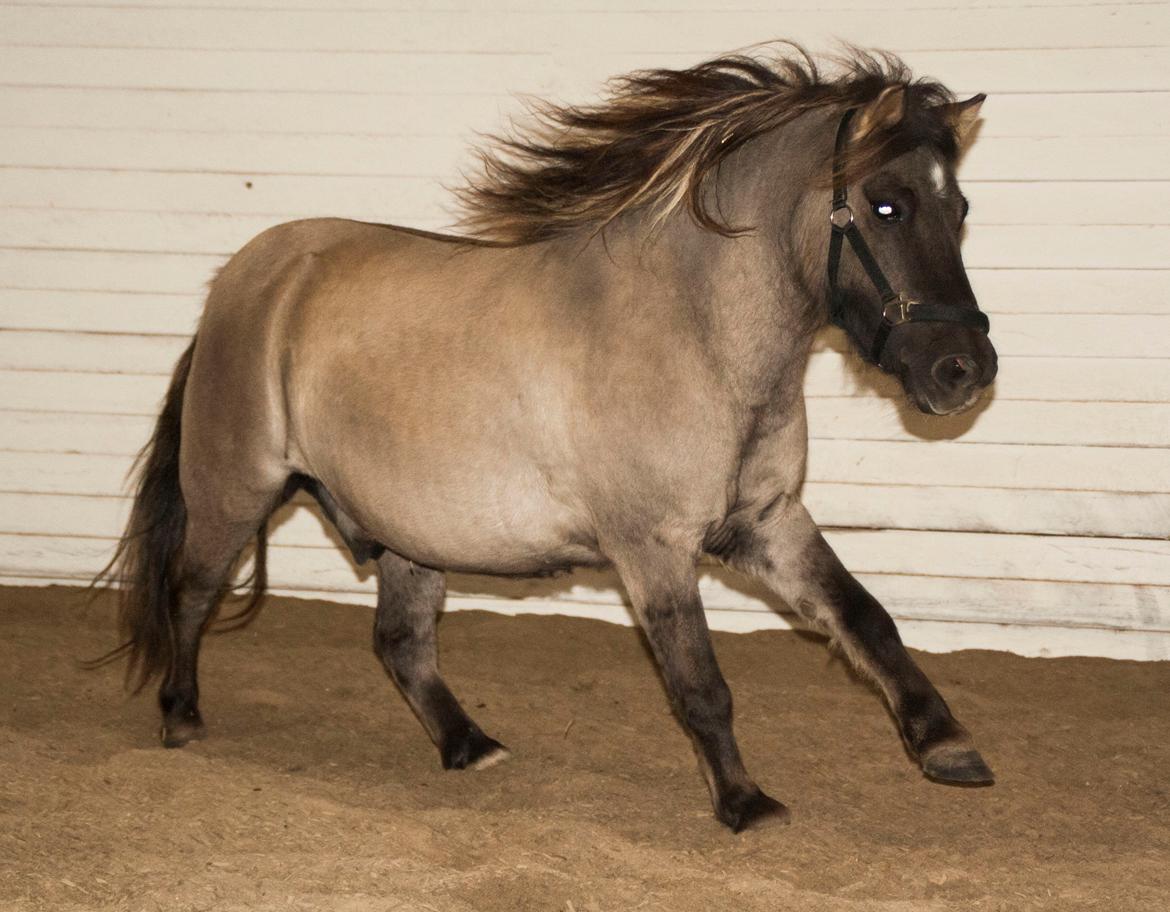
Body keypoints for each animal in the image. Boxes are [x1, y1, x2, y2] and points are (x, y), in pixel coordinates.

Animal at [94, 47, 997, 832]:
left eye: (960, 208)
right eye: (886, 204)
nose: (964, 369)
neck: (693, 330)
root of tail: (245, 277)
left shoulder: (765, 522)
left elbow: (865, 618)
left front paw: (947, 745)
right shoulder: (653, 547)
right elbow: (701, 684)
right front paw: (745, 804)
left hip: (407, 536)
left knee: (400, 644)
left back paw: (470, 746)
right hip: (236, 489)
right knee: (191, 592)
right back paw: (182, 719)